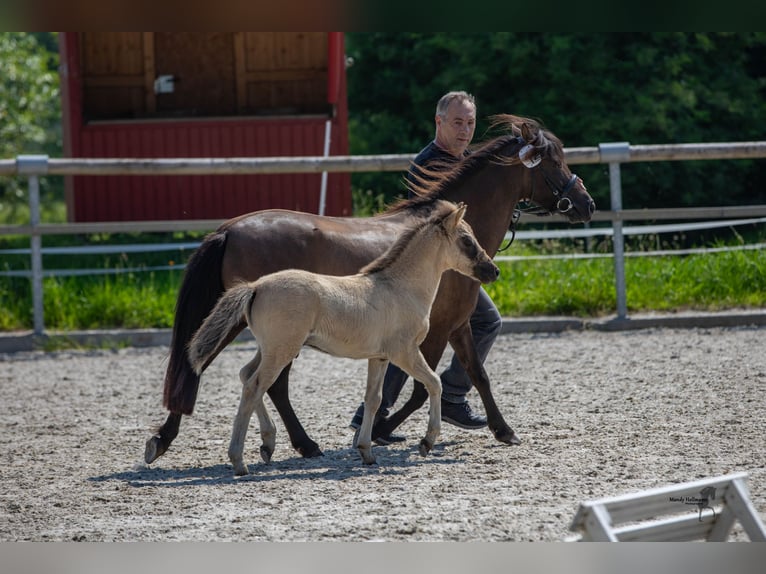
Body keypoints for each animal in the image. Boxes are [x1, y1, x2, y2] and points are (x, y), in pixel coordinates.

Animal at [186, 202, 498, 476]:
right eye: (467, 241)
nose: (493, 271)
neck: (400, 288)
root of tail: (256, 286)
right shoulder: (405, 352)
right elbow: (433, 383)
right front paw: (426, 442)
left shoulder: (379, 357)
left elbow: (373, 399)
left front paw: (367, 452)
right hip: (282, 350)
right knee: (254, 386)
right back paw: (240, 461)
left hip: (270, 349)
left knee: (246, 375)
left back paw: (268, 443)